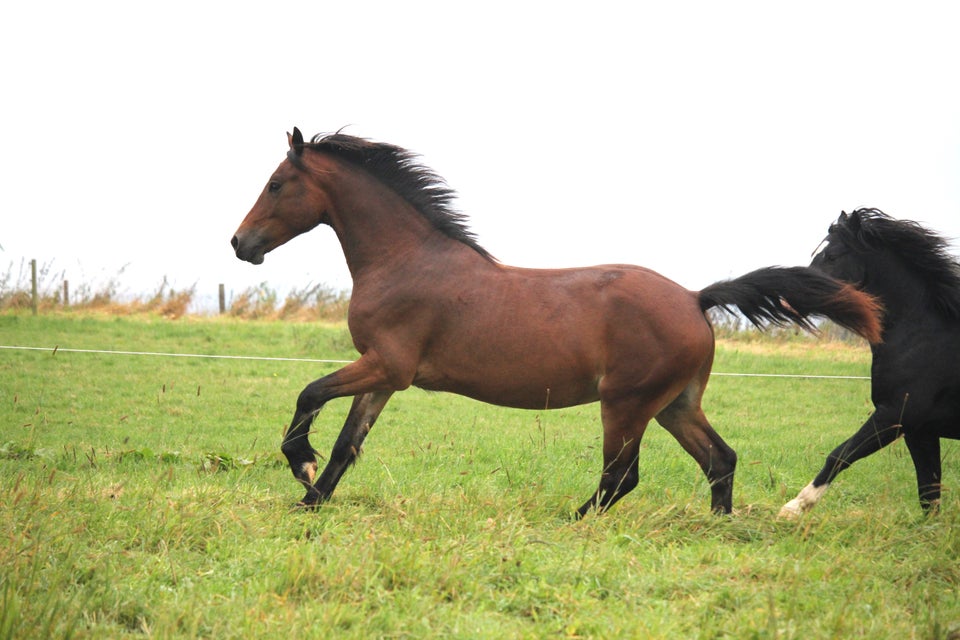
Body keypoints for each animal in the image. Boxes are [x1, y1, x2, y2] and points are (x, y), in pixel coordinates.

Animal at [229, 127, 880, 516]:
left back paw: (575, 520)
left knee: (622, 476)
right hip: (674, 404)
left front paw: (301, 467)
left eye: (276, 184)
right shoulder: (385, 375)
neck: (405, 260)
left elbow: (309, 394)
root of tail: (696, 298)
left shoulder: (387, 364)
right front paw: (311, 502)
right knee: (719, 458)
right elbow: (347, 443)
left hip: (626, 404)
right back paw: (720, 528)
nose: (240, 244)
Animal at [780, 208, 960, 516]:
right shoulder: (919, 430)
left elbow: (839, 456)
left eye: (831, 256)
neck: (924, 336)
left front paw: (794, 508)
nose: (786, 300)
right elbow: (929, 495)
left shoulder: (894, 416)